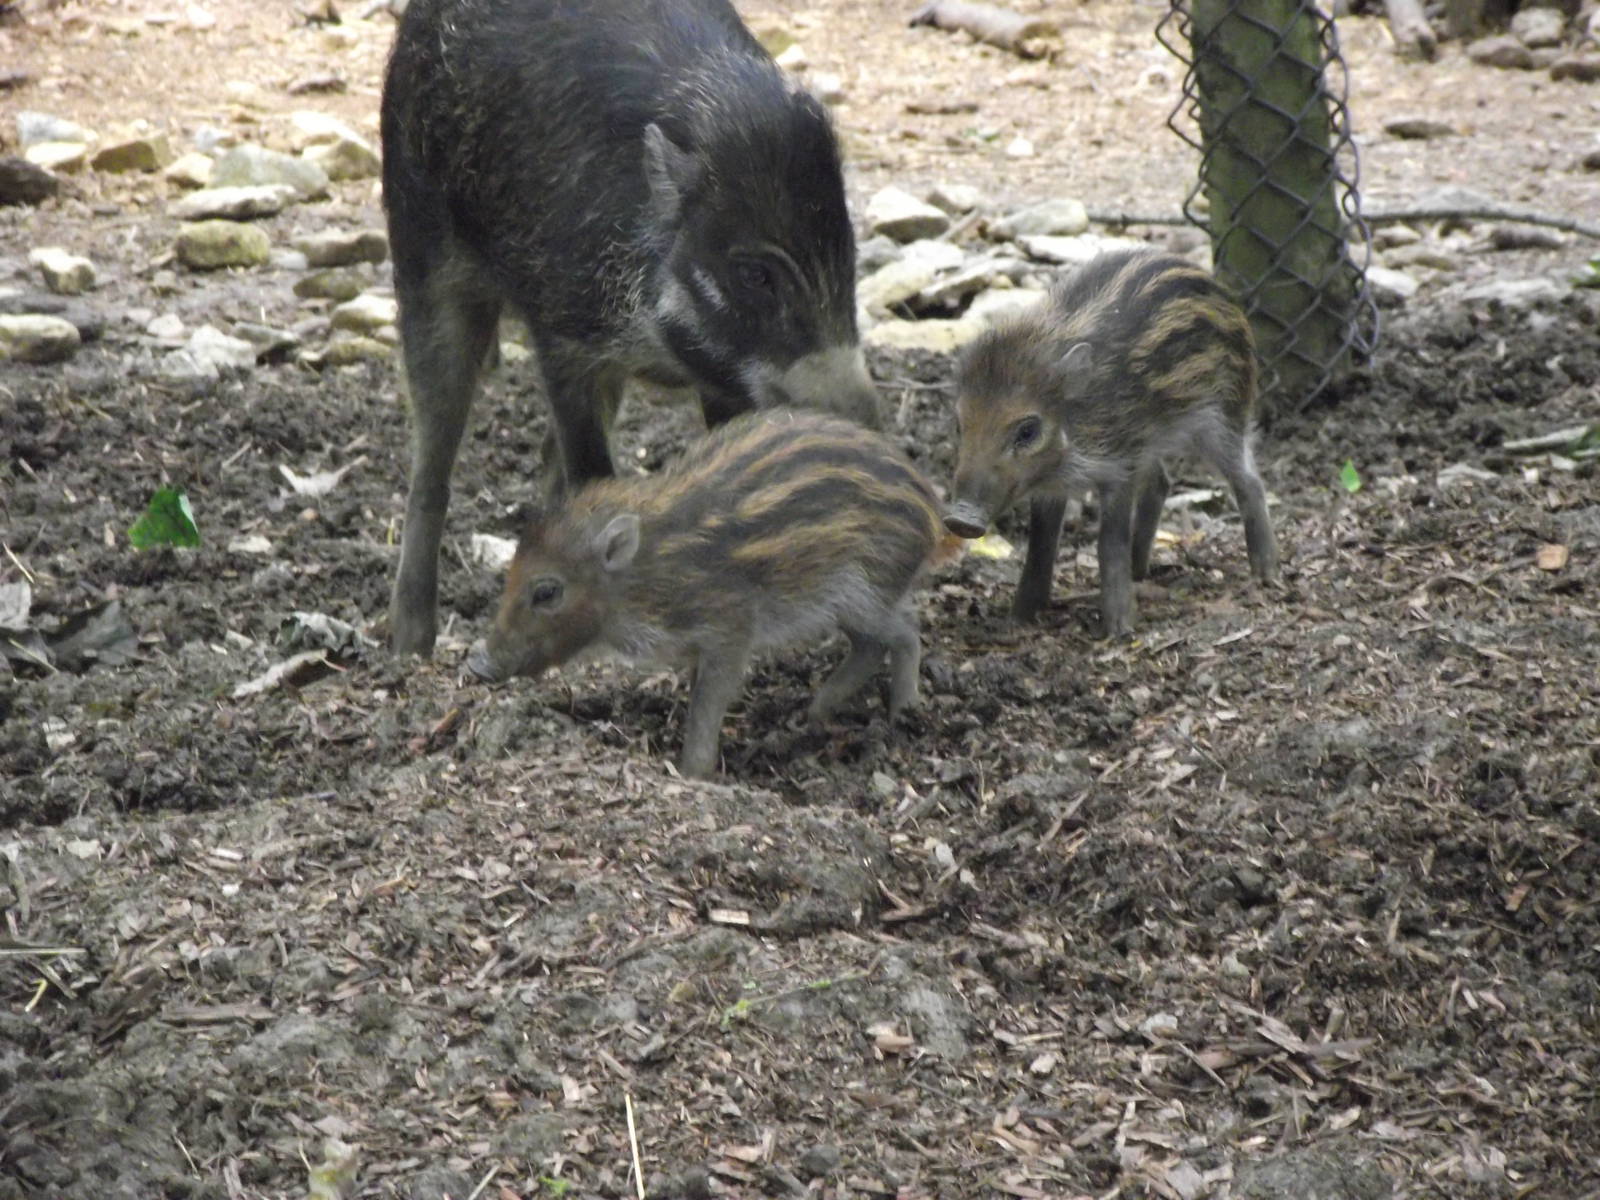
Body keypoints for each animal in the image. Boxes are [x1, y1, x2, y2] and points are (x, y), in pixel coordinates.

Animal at [381, 0, 882, 658]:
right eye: (755, 274)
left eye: (849, 254)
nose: (865, 423)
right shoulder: (562, 338)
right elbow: (591, 462)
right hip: (420, 253)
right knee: (432, 461)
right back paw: (410, 646)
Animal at [468, 410, 956, 778]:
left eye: (547, 591)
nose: (477, 663)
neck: (650, 573)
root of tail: (933, 513)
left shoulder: (729, 630)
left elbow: (708, 701)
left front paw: (693, 773)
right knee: (870, 646)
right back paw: (813, 714)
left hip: (866, 589)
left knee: (905, 632)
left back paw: (901, 714)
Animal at [943, 248, 1279, 637]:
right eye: (960, 424)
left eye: (1027, 431)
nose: (960, 519)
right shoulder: (1059, 483)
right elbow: (1041, 541)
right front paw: (1018, 618)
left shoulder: (1120, 464)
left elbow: (1109, 540)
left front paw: (1119, 629)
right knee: (1162, 481)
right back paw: (1139, 571)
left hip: (1225, 414)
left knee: (1248, 479)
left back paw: (1266, 574)